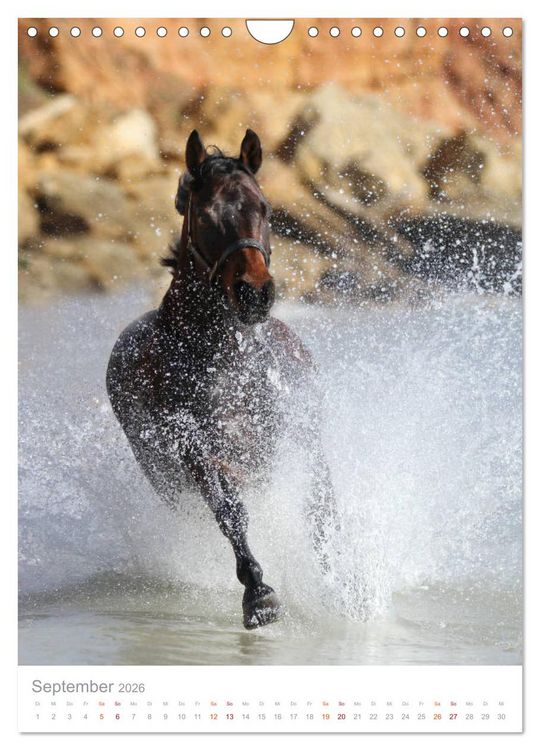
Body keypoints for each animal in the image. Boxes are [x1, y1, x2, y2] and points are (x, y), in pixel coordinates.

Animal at [106, 129, 336, 629]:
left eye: (264, 208)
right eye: (207, 214)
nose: (255, 293)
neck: (225, 362)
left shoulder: (297, 438)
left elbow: (319, 508)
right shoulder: (195, 449)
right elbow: (231, 511)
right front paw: (259, 594)